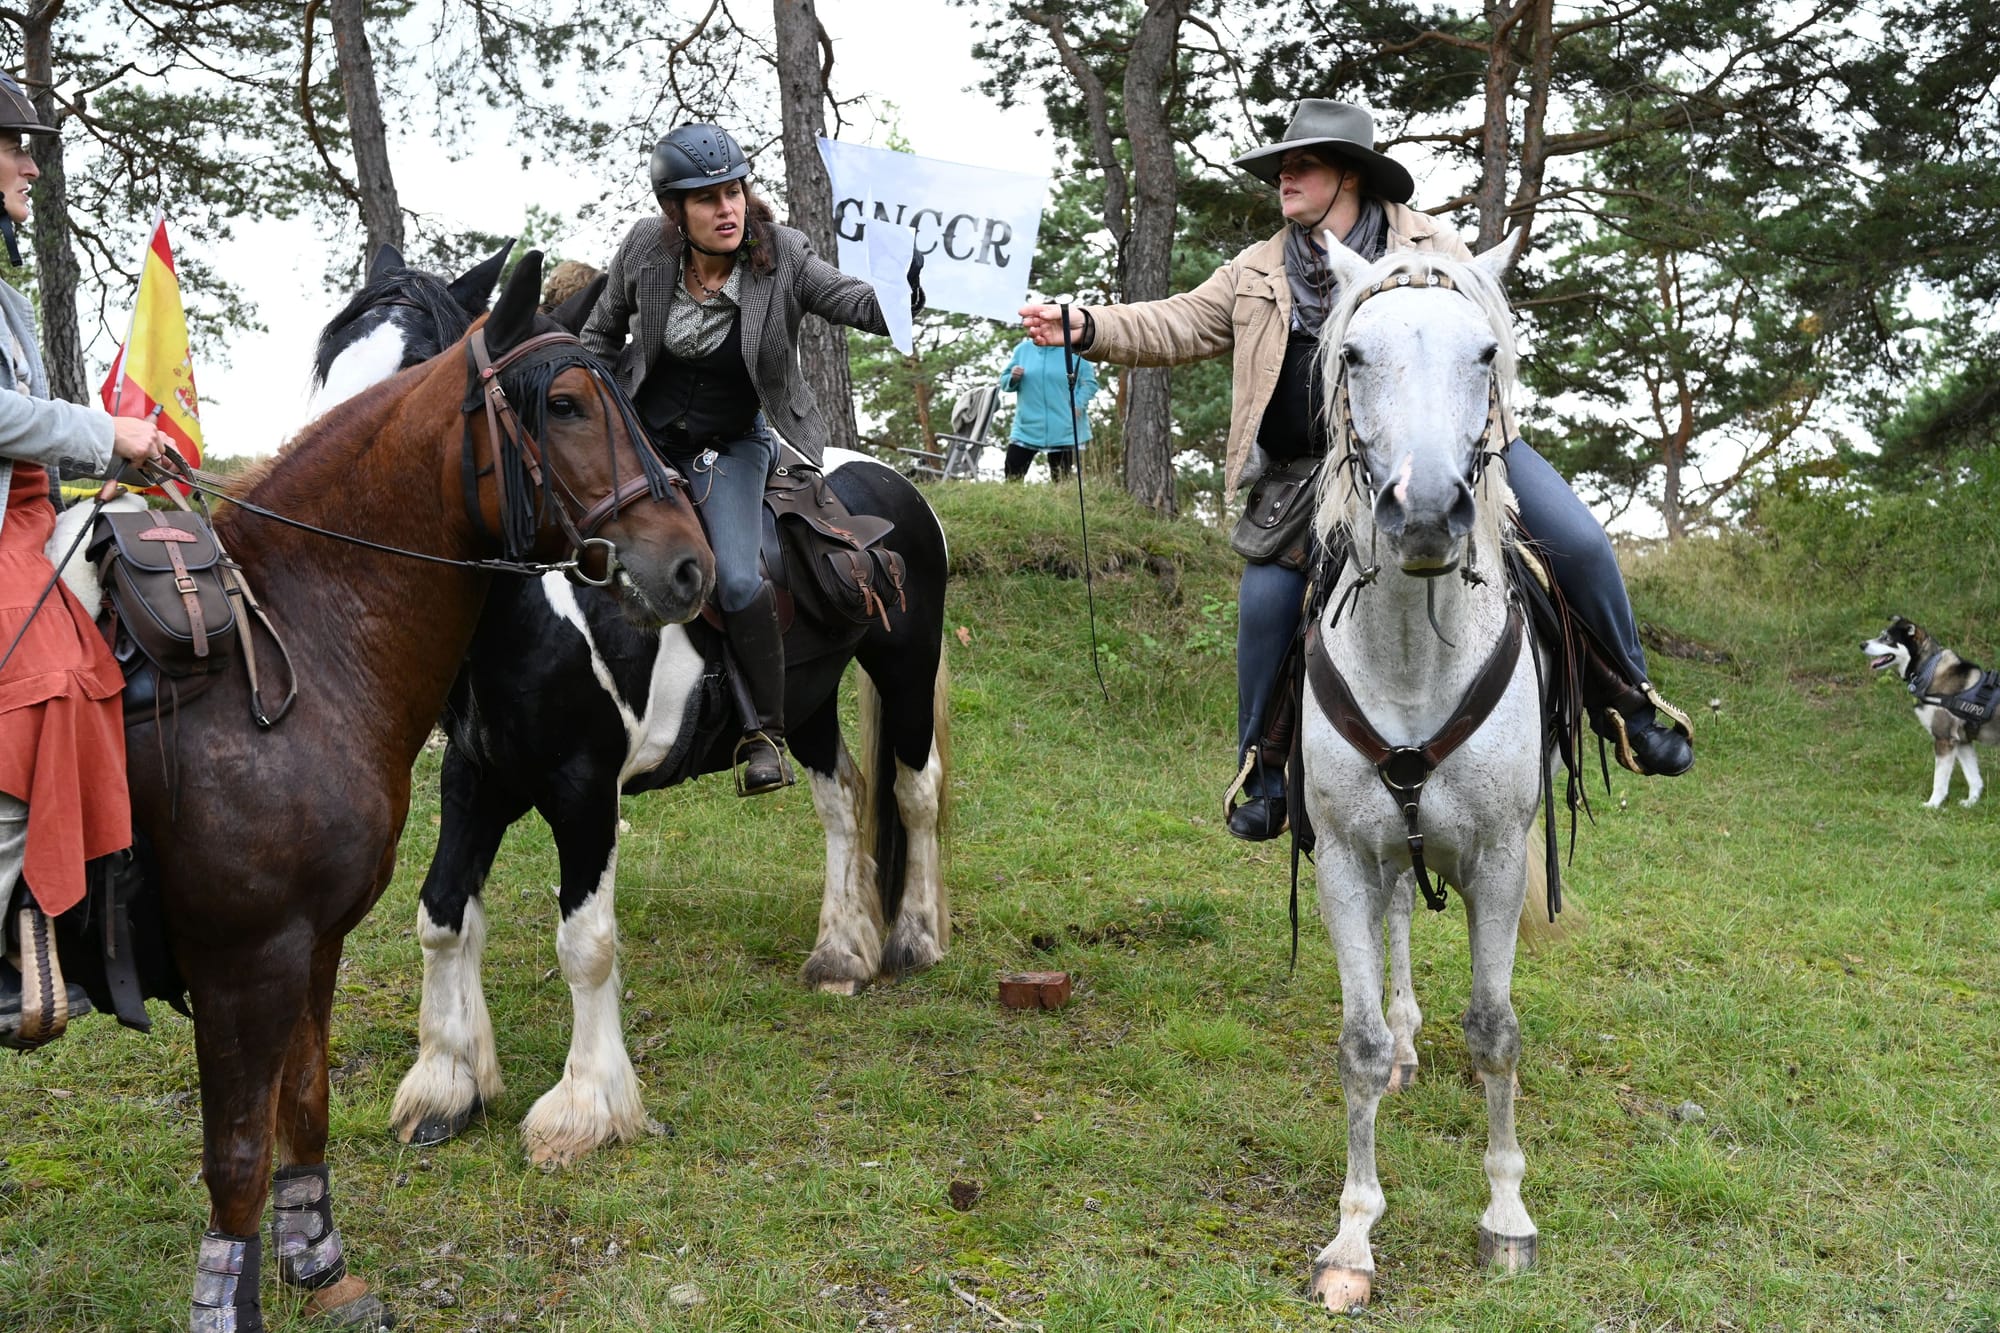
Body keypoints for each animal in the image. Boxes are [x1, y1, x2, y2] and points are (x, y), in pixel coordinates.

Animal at [312, 252, 952, 1160]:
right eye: (330, 371)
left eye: (417, 380)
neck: (541, 604)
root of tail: (896, 487)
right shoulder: (475, 776)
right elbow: (442, 914)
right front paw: (446, 1082)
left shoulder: (584, 789)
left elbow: (585, 942)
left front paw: (585, 1107)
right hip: (808, 699)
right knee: (844, 800)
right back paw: (840, 953)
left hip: (904, 665)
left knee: (913, 790)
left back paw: (913, 938)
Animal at [1864, 612, 1992, 800]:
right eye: (1881, 635)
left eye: (1886, 638)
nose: (1861, 644)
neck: (1930, 670)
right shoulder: (1962, 741)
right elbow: (1974, 778)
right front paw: (1972, 802)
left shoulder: (1944, 739)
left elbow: (1939, 782)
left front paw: (1933, 804)